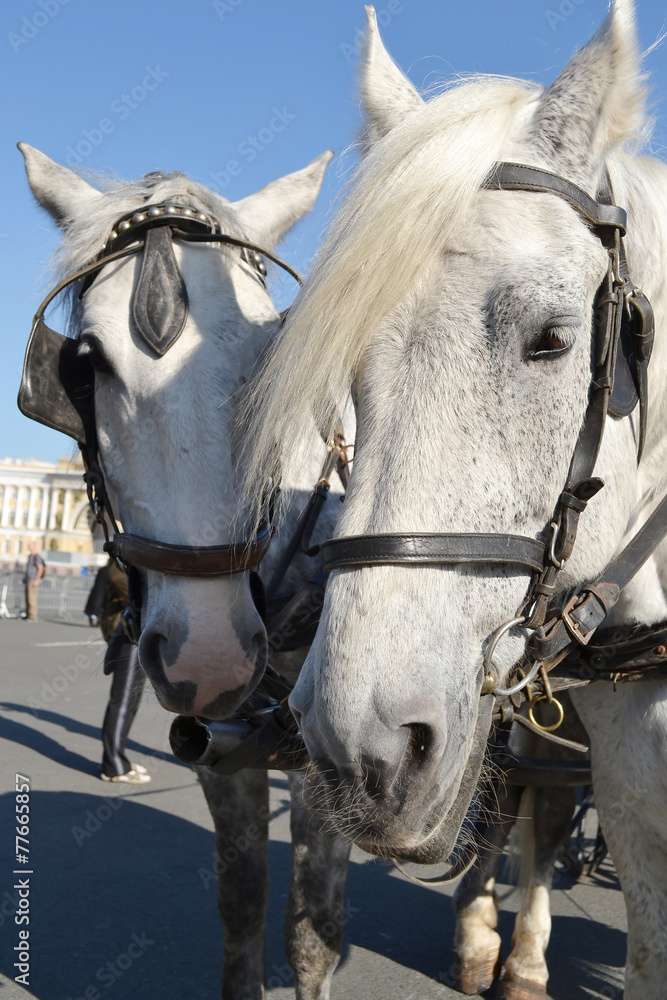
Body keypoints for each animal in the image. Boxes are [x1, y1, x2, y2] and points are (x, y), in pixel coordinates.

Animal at [19, 146, 354, 999]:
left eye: (271, 352)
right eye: (82, 365)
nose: (207, 654)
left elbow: (312, 931)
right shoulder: (220, 740)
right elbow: (239, 903)